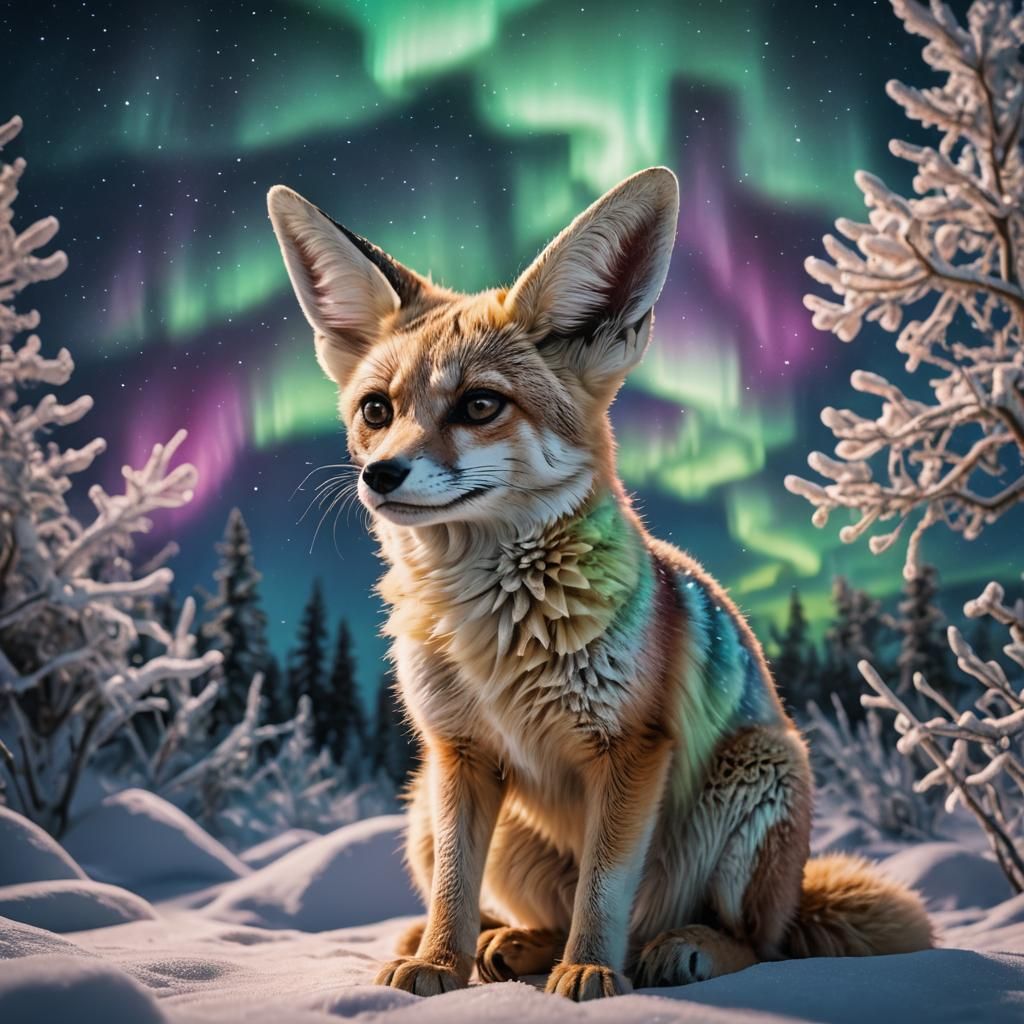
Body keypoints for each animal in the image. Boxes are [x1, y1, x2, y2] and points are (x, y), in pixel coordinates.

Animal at [265, 167, 933, 1001]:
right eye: (376, 410)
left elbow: (605, 887)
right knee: (528, 913)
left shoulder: (630, 749)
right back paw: (511, 946)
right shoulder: (459, 752)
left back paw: (677, 950)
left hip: (758, 774)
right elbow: (454, 888)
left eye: (480, 404)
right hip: (425, 804)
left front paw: (589, 971)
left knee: (756, 943)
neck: (494, 633)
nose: (380, 474)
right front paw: (441, 967)